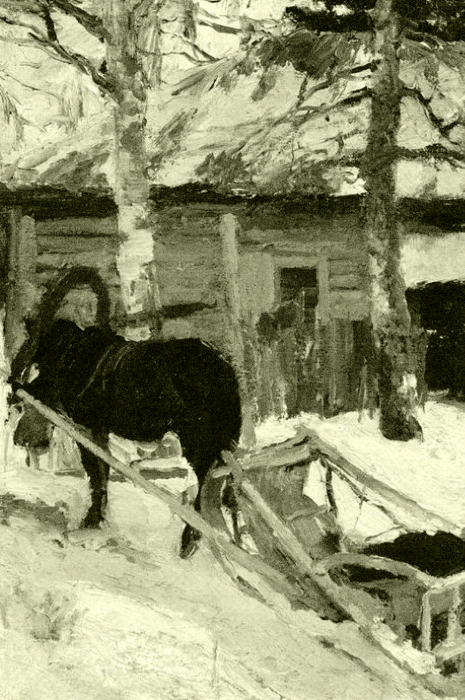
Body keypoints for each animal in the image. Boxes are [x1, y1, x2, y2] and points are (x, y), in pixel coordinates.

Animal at [9, 266, 242, 558]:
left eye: (38, 338)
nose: (14, 381)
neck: (77, 354)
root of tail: (226, 373)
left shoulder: (86, 429)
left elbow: (96, 475)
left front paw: (91, 522)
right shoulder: (98, 431)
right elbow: (102, 474)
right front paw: (96, 520)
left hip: (198, 444)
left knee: (201, 491)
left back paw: (190, 542)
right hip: (218, 448)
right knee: (218, 492)